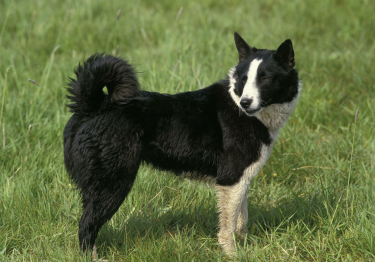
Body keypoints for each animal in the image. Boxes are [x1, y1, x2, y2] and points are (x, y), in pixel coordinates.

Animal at [63, 32, 302, 254]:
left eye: (264, 78)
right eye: (243, 79)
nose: (245, 102)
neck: (240, 106)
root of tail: (93, 106)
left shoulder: (241, 180)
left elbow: (241, 220)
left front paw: (244, 247)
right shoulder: (231, 178)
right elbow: (228, 225)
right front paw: (232, 254)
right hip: (112, 183)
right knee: (86, 226)